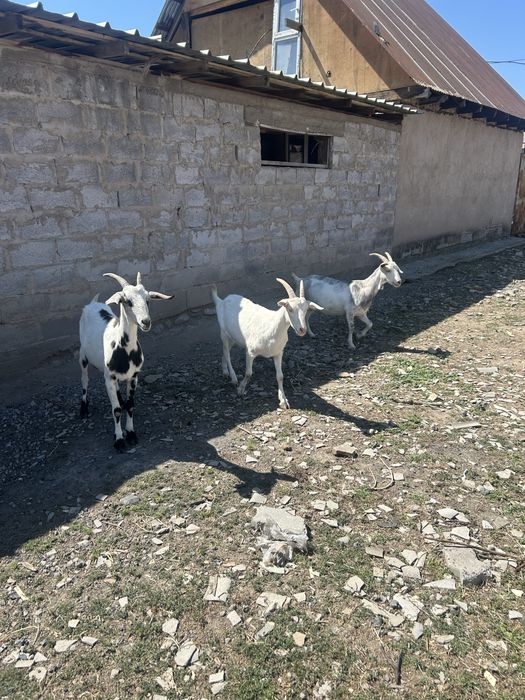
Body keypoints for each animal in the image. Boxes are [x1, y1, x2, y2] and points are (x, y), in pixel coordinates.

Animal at [79, 272, 173, 452]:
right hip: (82, 355)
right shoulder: (108, 378)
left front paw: (131, 433)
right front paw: (119, 440)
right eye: (127, 301)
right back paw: (83, 408)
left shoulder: (134, 376)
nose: (146, 322)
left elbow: (130, 405)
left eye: (148, 300)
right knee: (84, 379)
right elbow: (115, 410)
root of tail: (93, 303)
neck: (124, 350)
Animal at [211, 278, 323, 408]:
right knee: (227, 354)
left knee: (225, 352)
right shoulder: (250, 352)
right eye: (290, 309)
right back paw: (233, 378)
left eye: (306, 310)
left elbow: (280, 376)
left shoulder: (278, 352)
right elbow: (248, 373)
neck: (272, 327)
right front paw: (240, 390)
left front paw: (283, 401)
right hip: (223, 333)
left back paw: (225, 372)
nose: (302, 330)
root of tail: (222, 301)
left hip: (233, 337)